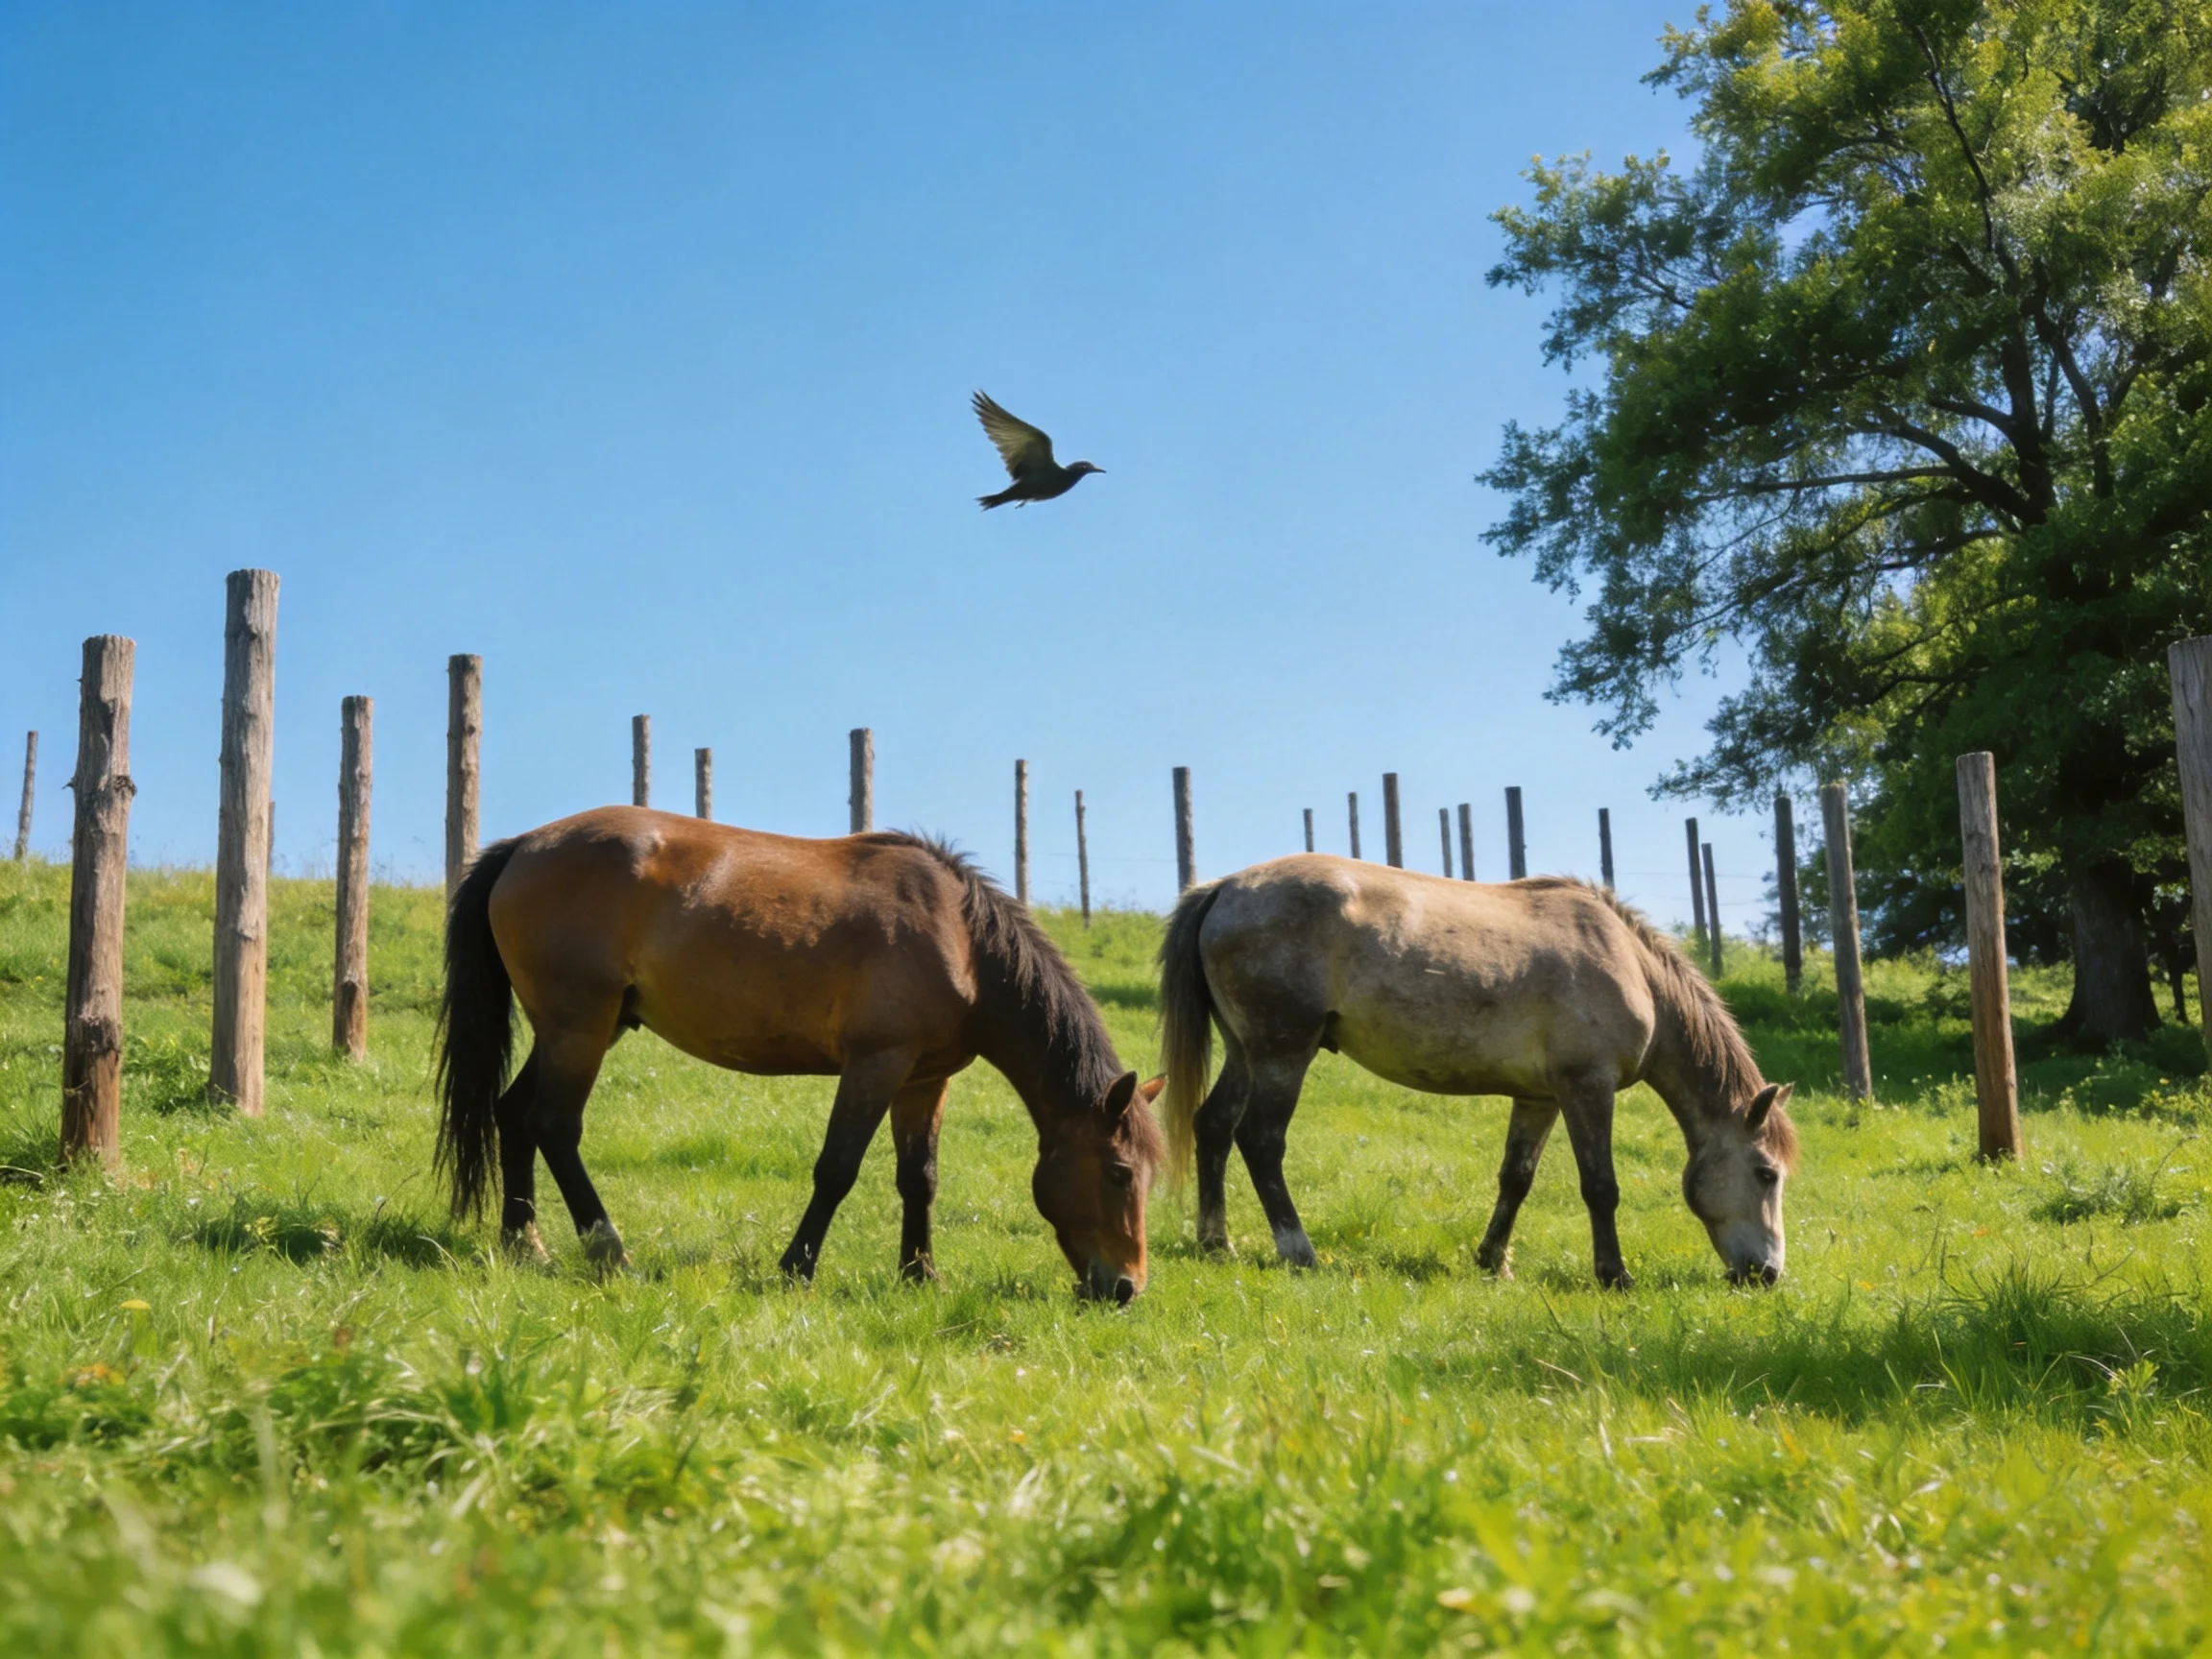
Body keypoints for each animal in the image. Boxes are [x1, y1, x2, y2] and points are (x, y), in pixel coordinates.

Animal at [434, 808, 1163, 1301]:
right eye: (1120, 1173)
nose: (1126, 1288)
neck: (961, 942)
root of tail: (521, 848)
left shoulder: (924, 1081)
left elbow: (919, 1178)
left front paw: (920, 1275)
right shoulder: (875, 1064)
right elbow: (837, 1170)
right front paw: (796, 1269)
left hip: (581, 1028)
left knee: (513, 1114)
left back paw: (524, 1244)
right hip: (580, 1028)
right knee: (554, 1125)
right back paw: (611, 1253)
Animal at [1157, 857, 1797, 1287]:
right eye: (1766, 1174)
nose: (1768, 1273)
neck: (1630, 967)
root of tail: (1222, 889)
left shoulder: (1540, 1098)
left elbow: (1516, 1178)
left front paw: (1493, 1261)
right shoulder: (1587, 1089)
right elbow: (1601, 1186)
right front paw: (1613, 1275)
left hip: (1245, 1052)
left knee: (1213, 1126)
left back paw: (1217, 1243)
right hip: (1282, 1053)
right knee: (1260, 1140)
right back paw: (1299, 1251)